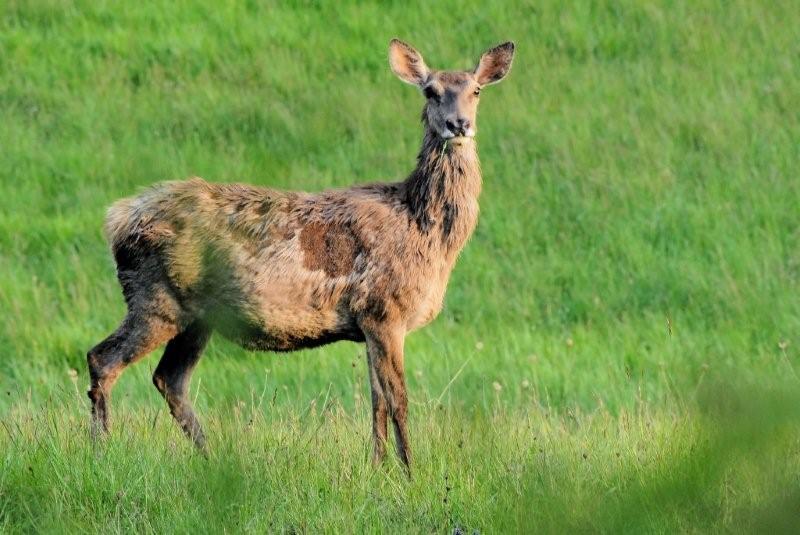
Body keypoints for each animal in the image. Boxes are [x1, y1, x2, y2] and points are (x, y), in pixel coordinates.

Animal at [86, 39, 512, 472]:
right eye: (430, 91)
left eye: (476, 90)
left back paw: (209, 456)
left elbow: (376, 403)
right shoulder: (384, 311)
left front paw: (377, 468)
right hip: (156, 298)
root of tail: (116, 219)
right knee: (103, 359)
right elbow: (399, 400)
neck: (425, 230)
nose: (458, 124)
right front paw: (410, 471)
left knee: (169, 380)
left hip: (196, 317)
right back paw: (101, 450)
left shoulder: (368, 323)